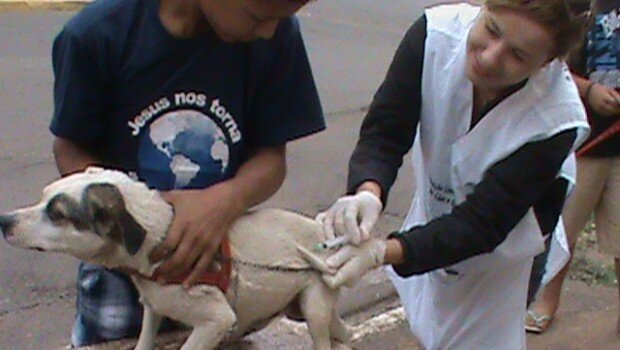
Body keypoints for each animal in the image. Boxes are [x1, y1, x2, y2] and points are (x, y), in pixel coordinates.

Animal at [0, 168, 348, 348]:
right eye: (43, 196)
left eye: (57, 214)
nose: (4, 221)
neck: (157, 242)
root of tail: (320, 230)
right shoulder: (153, 308)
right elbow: (144, 340)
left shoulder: (216, 320)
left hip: (313, 310)